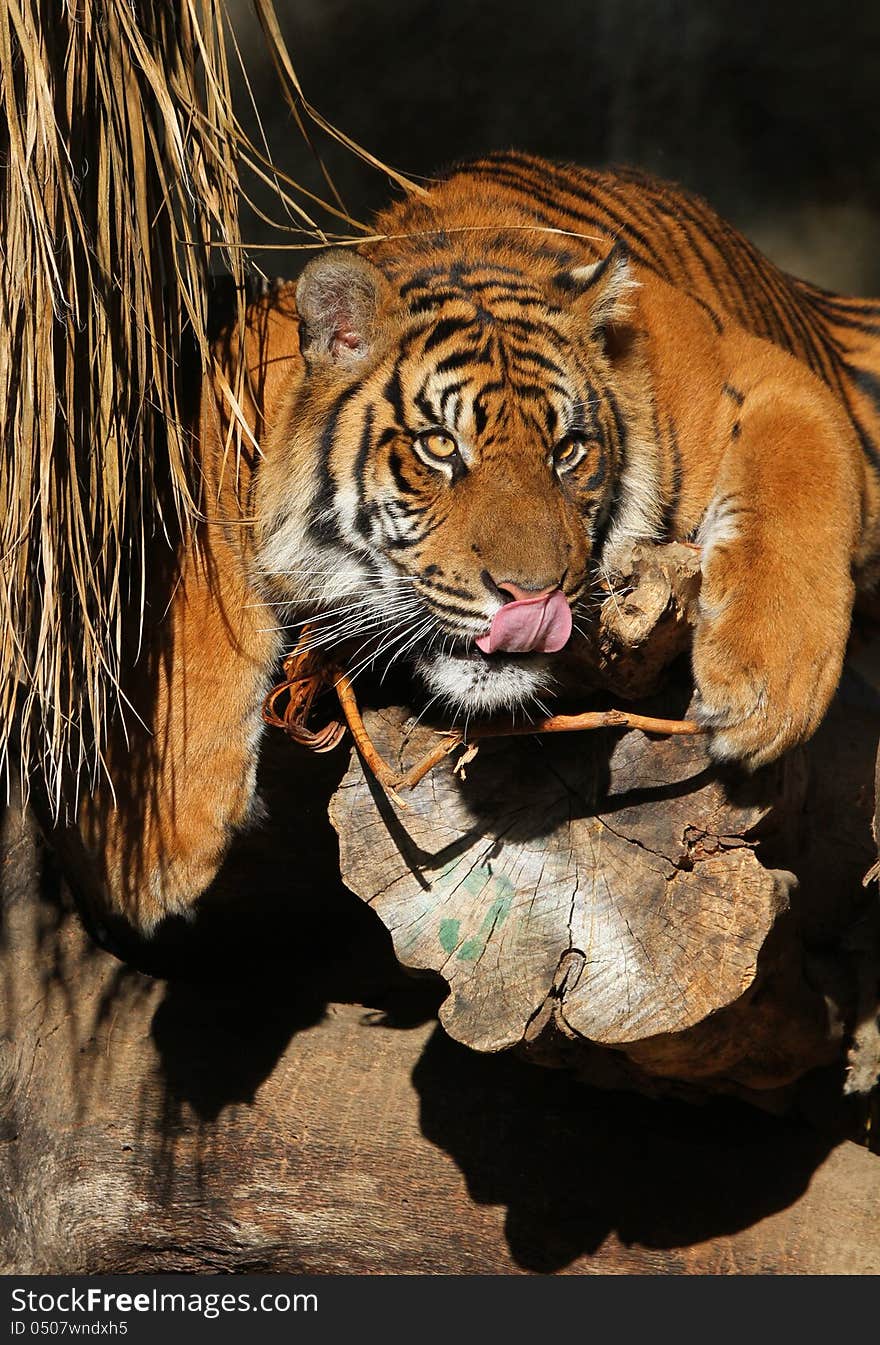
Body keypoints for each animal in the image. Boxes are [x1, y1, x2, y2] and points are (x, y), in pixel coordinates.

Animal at [79, 147, 880, 925]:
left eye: (567, 451)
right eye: (439, 445)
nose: (532, 596)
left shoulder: (763, 374)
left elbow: (801, 477)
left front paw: (762, 694)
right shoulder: (218, 411)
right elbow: (189, 597)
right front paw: (149, 840)